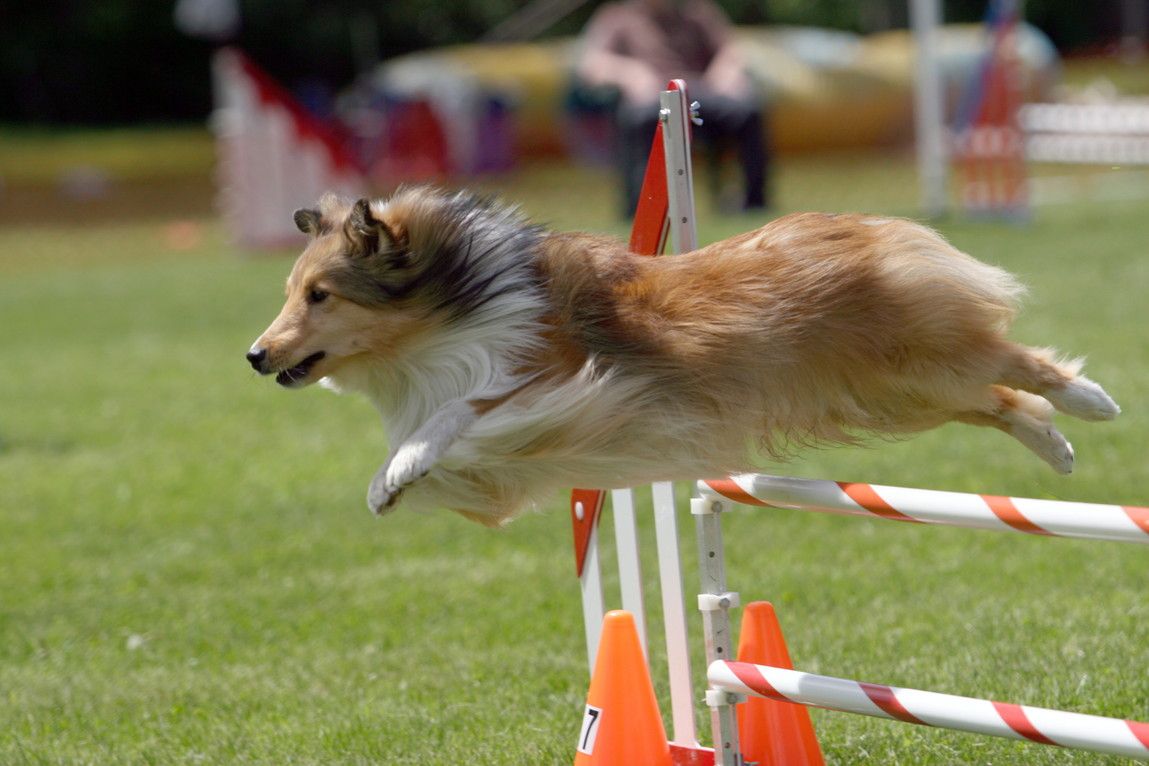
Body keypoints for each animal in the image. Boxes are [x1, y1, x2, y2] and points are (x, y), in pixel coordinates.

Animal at [247, 186, 1116, 528]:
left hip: (914, 352)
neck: (456, 302)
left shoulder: (554, 378)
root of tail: (861, 223)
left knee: (1018, 361)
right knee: (999, 398)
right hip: (897, 390)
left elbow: (458, 411)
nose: (255, 355)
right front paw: (391, 486)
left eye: (320, 294)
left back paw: (1092, 401)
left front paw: (396, 469)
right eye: (291, 291)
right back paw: (1058, 446)